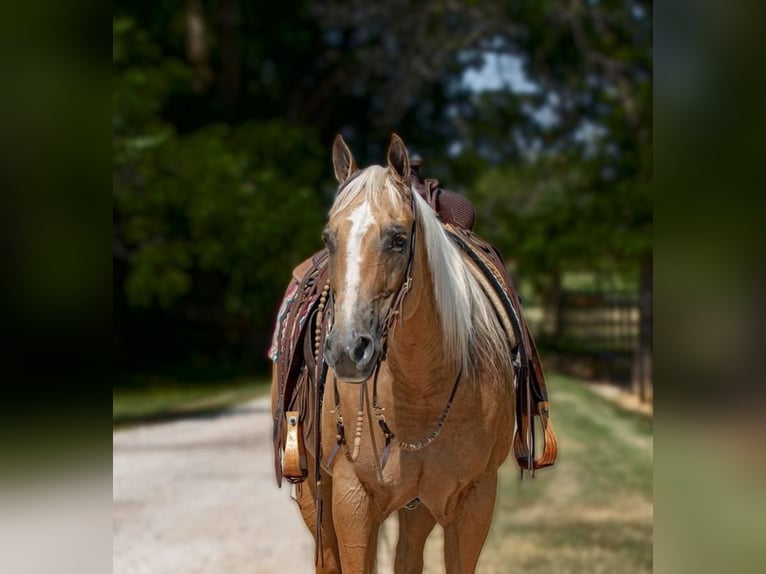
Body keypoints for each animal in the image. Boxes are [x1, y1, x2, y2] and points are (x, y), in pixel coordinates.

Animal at [272, 136, 536, 574]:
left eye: (398, 239)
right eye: (329, 238)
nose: (347, 350)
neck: (422, 391)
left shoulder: (475, 500)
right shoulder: (352, 500)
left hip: (418, 506)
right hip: (312, 490)